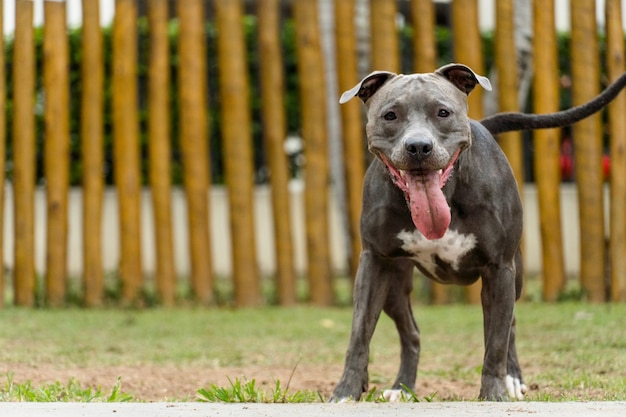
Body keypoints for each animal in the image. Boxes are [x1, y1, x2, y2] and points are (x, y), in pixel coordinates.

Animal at [330, 62, 624, 400]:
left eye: (443, 112)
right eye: (390, 115)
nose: (418, 146)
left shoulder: (500, 269)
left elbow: (495, 342)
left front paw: (494, 392)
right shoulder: (374, 263)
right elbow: (359, 334)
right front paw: (347, 390)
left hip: (513, 278)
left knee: (509, 327)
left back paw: (512, 378)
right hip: (394, 286)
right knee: (411, 333)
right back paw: (402, 387)